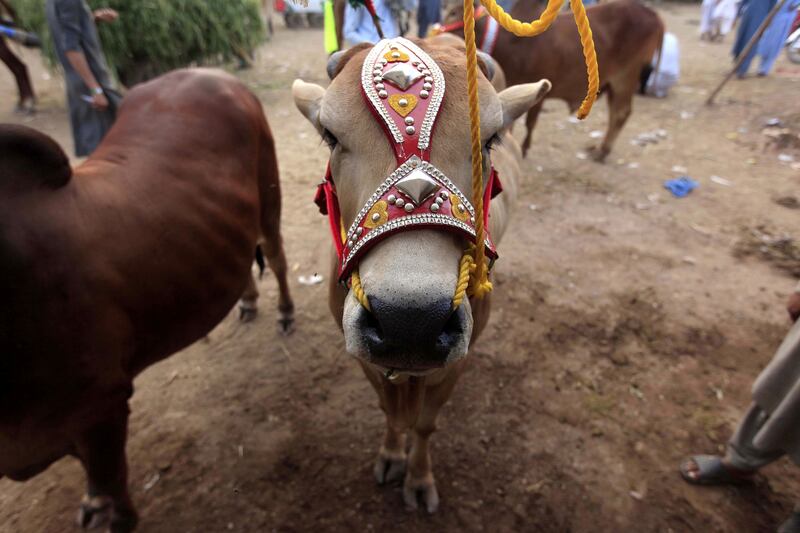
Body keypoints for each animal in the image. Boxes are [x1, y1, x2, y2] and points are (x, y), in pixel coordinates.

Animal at [0, 68, 294, 528]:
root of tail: (210, 73)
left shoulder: (103, 409)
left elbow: (114, 501)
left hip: (270, 194)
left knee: (277, 257)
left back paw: (284, 312)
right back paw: (246, 302)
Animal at [294, 37, 552, 512]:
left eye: (491, 140)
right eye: (330, 136)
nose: (409, 321)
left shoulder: (455, 362)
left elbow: (426, 424)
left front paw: (417, 477)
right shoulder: (365, 358)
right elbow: (391, 412)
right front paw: (392, 455)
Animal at [444, 0, 664, 162]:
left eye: (453, 13)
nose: (438, 30)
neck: (512, 44)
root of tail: (651, 14)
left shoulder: (539, 91)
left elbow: (529, 123)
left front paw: (523, 149)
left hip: (625, 78)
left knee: (620, 113)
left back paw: (602, 151)